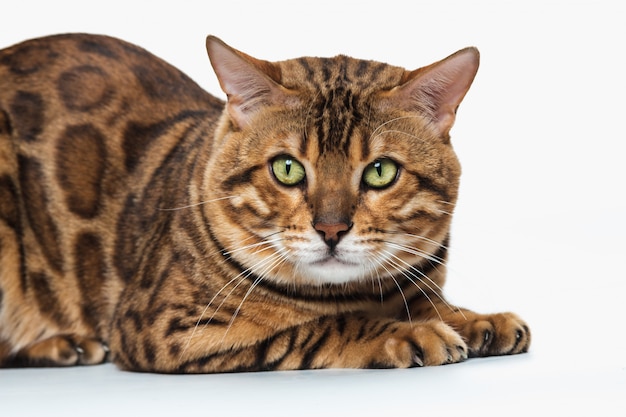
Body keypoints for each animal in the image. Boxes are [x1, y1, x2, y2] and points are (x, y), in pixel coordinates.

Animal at [0, 32, 528, 370]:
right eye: (287, 168)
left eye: (380, 171)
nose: (332, 230)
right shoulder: (170, 327)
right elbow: (325, 326)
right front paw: (407, 332)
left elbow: (429, 302)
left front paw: (477, 319)